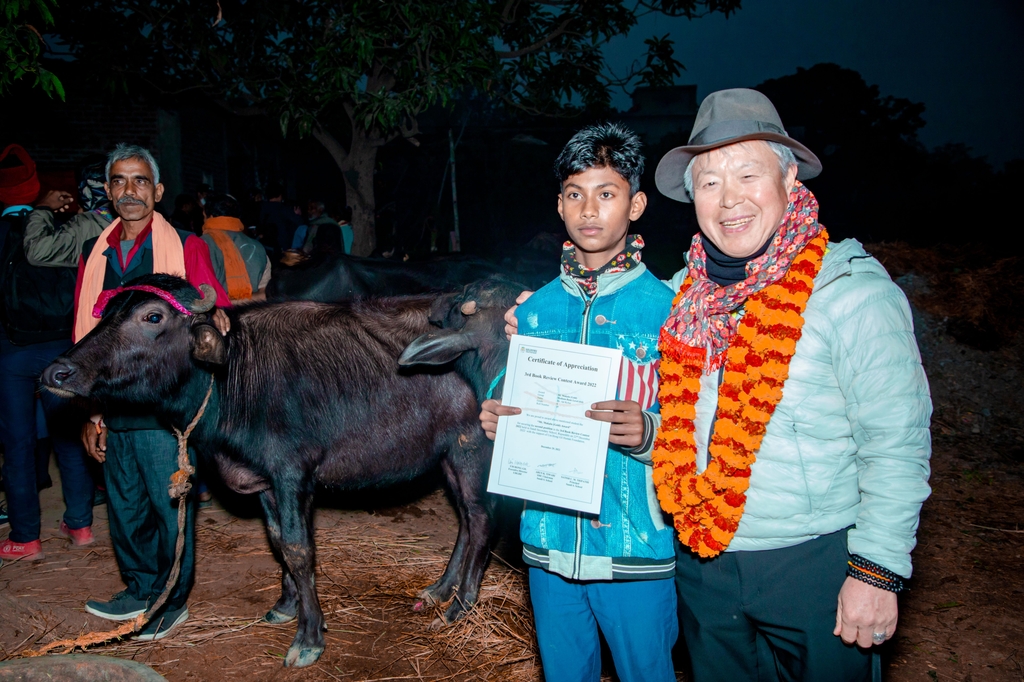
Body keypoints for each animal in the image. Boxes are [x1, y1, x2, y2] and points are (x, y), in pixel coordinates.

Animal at [43, 272, 516, 663]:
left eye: (152, 316)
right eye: (107, 314)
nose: (56, 372)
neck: (230, 377)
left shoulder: (292, 474)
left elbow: (298, 548)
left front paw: (309, 637)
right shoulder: (264, 482)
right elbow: (276, 541)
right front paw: (287, 606)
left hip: (472, 448)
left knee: (480, 519)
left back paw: (460, 605)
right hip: (447, 456)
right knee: (465, 518)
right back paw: (438, 590)